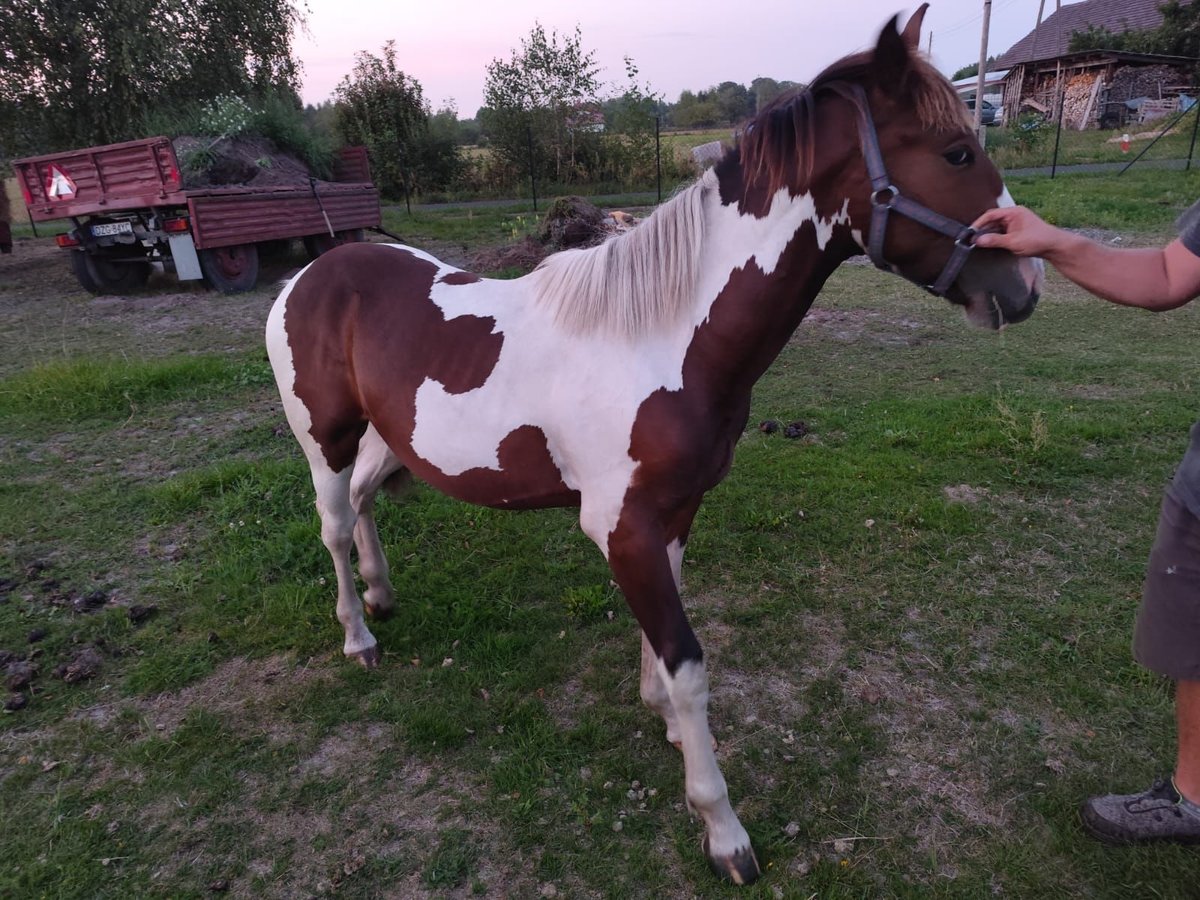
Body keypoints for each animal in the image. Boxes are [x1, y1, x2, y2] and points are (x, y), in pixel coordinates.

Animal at [265, 5, 1041, 883]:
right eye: (956, 152)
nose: (1025, 286)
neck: (663, 339)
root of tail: (311, 275)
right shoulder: (621, 525)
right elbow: (689, 662)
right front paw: (722, 827)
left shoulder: (673, 510)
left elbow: (667, 640)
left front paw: (662, 719)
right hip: (324, 440)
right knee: (333, 525)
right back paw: (357, 635)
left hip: (386, 440)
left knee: (365, 503)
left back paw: (381, 593)